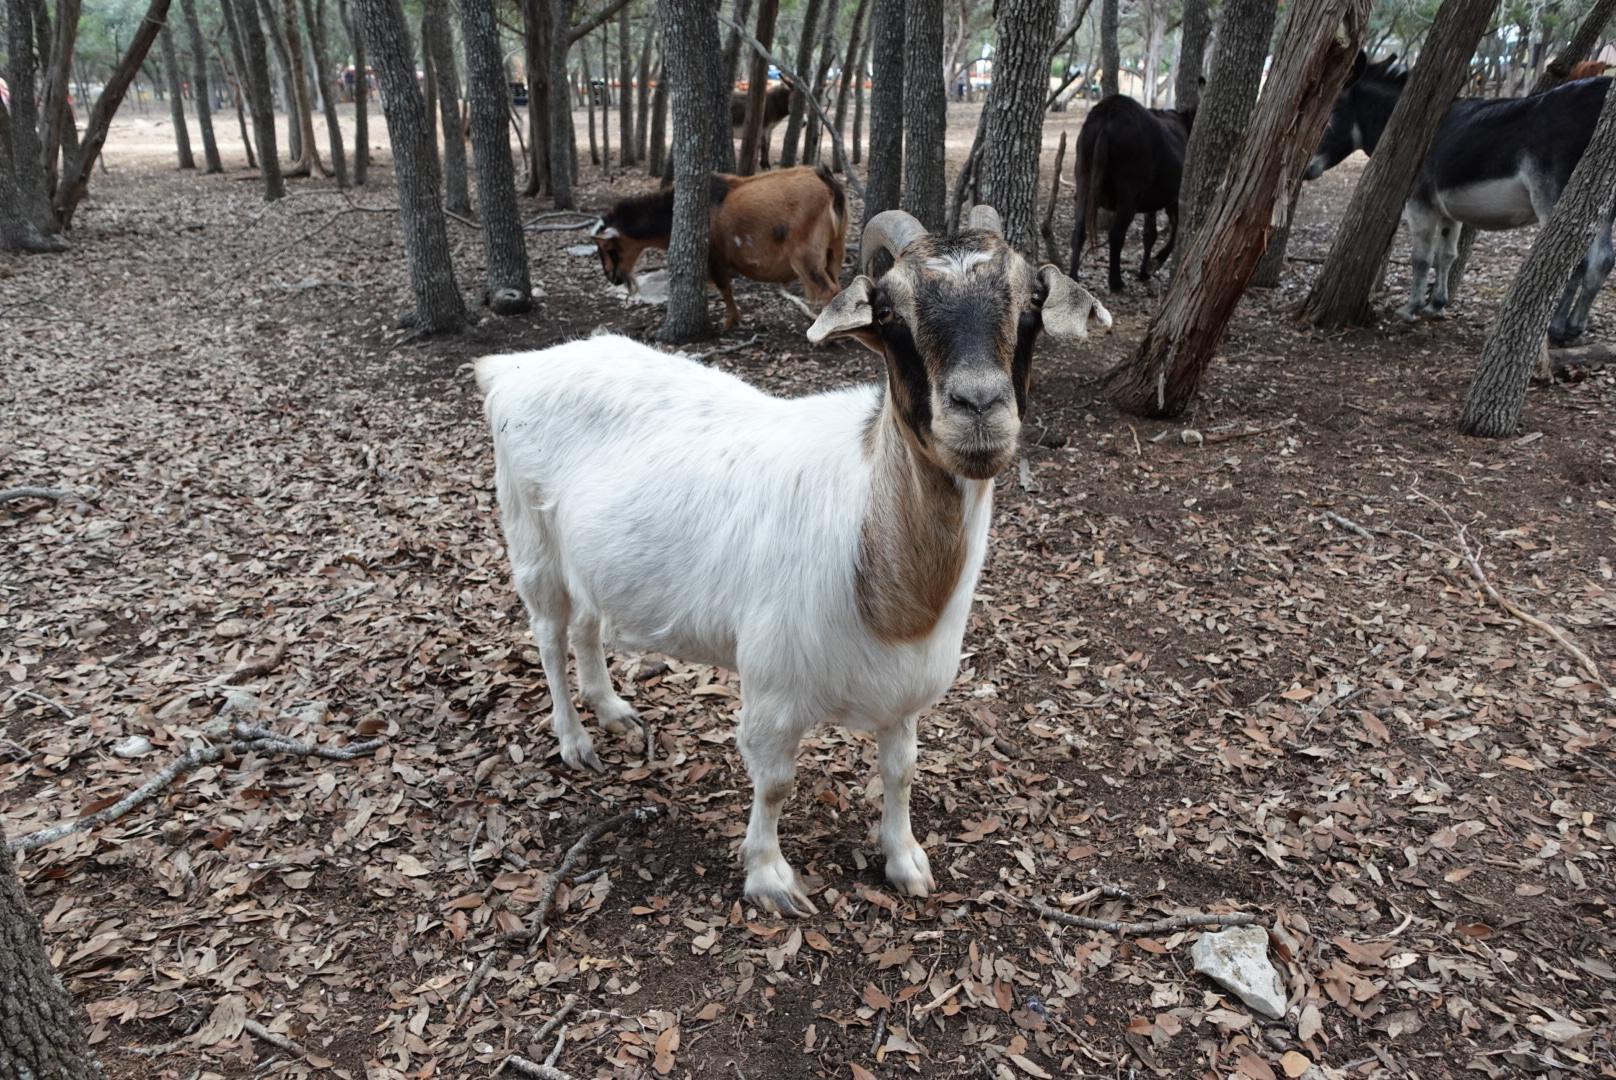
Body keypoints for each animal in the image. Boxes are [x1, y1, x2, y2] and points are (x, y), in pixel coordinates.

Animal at [478, 206, 1110, 916]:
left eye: (1031, 304)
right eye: (888, 312)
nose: (980, 409)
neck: (884, 587)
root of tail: (512, 367)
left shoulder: (905, 693)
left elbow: (901, 769)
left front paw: (905, 861)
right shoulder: (774, 687)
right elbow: (775, 781)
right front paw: (770, 878)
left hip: (589, 558)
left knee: (586, 626)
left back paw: (612, 711)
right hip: (531, 536)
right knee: (548, 636)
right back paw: (575, 741)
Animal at [593, 165, 848, 331]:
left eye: (609, 248)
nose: (612, 277)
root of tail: (829, 185)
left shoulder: (713, 256)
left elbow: (724, 287)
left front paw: (729, 323)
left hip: (806, 256)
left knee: (829, 289)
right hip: (835, 249)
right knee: (839, 286)